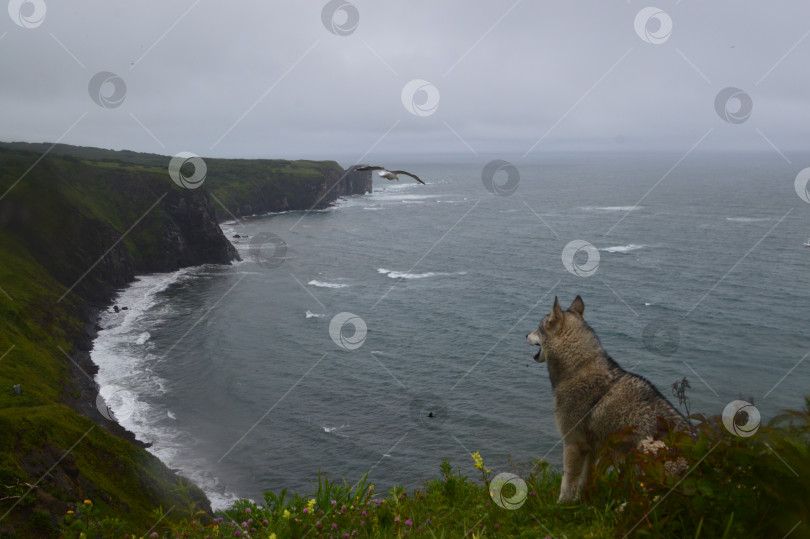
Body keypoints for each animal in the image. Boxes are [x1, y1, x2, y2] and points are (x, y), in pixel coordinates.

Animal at [524, 296, 688, 502]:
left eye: (539, 327)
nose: (525, 334)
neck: (577, 368)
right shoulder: (592, 448)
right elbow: (584, 481)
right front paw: (581, 502)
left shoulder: (573, 444)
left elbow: (566, 484)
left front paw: (561, 505)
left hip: (647, 450)